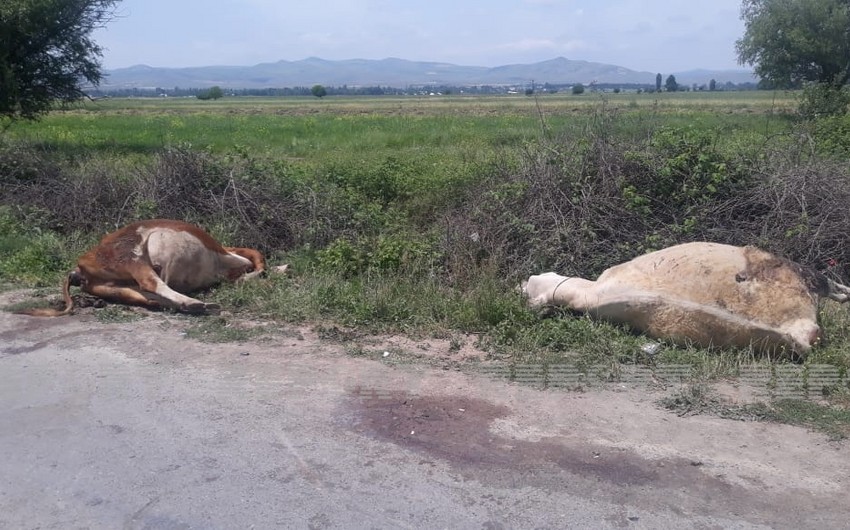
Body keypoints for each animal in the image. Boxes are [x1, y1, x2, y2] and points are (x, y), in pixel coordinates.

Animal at [19, 218, 264, 316]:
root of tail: (78, 267)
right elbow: (254, 259)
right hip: (131, 254)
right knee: (152, 283)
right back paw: (196, 303)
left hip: (114, 287)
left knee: (143, 294)